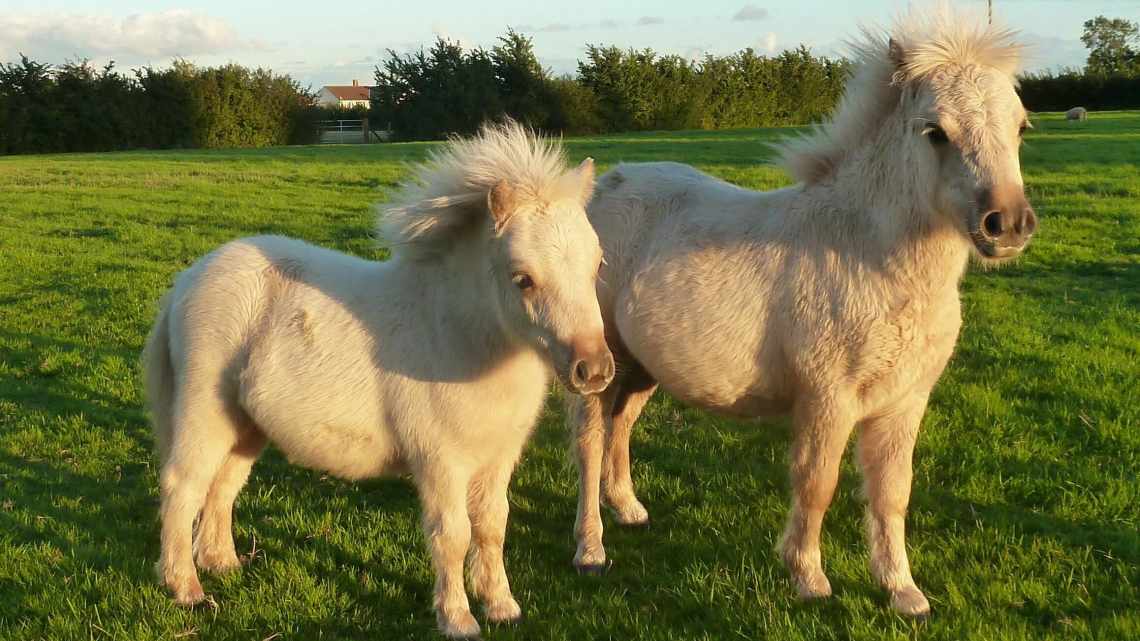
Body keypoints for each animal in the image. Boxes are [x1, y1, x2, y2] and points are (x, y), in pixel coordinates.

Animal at [142, 119, 615, 634]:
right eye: (523, 278)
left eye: (597, 264)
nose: (594, 370)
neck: (457, 334)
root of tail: (188, 280)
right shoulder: (440, 461)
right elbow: (452, 535)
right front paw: (458, 619)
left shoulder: (497, 458)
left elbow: (493, 527)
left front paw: (502, 606)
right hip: (203, 414)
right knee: (182, 485)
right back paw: (186, 589)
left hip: (245, 426)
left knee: (223, 485)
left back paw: (222, 562)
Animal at [565, 7, 1039, 611]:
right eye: (935, 132)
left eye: (1022, 127)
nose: (1008, 225)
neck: (868, 256)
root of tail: (605, 187)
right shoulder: (826, 400)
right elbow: (817, 484)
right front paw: (808, 578)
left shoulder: (905, 403)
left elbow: (892, 493)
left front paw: (902, 590)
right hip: (599, 366)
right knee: (588, 444)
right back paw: (590, 549)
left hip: (641, 366)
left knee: (619, 428)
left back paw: (627, 508)